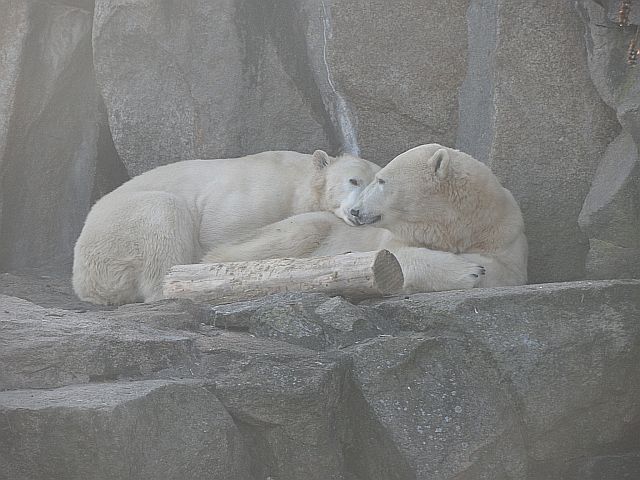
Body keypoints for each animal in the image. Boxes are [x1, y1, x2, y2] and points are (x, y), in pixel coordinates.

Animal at [73, 150, 380, 305]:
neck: (295, 182)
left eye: (379, 185)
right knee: (164, 211)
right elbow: (221, 236)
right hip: (115, 235)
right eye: (353, 180)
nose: (360, 213)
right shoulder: (252, 199)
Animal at [202, 144, 528, 293]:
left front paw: (477, 266)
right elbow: (392, 259)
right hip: (304, 225)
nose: (357, 211)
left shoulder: (503, 231)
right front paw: (468, 270)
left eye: (381, 180)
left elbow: (504, 270)